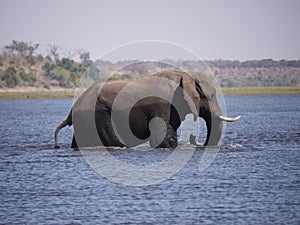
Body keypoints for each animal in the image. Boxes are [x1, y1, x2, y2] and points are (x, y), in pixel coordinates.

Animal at [54, 69, 240, 149]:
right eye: (210, 96)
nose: (196, 141)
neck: (185, 75)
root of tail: (71, 111)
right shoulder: (163, 104)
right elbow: (162, 138)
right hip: (96, 115)